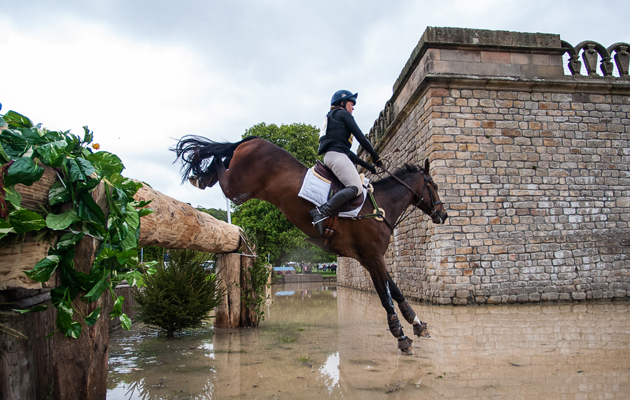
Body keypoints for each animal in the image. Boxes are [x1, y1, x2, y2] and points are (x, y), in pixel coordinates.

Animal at [173, 136, 450, 354]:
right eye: (435, 186)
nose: (444, 215)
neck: (379, 207)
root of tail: (253, 140)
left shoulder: (370, 259)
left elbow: (396, 292)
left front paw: (417, 324)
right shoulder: (373, 258)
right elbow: (386, 298)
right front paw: (401, 336)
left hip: (242, 188)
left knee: (222, 160)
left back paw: (202, 174)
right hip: (237, 187)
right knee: (221, 164)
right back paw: (202, 165)